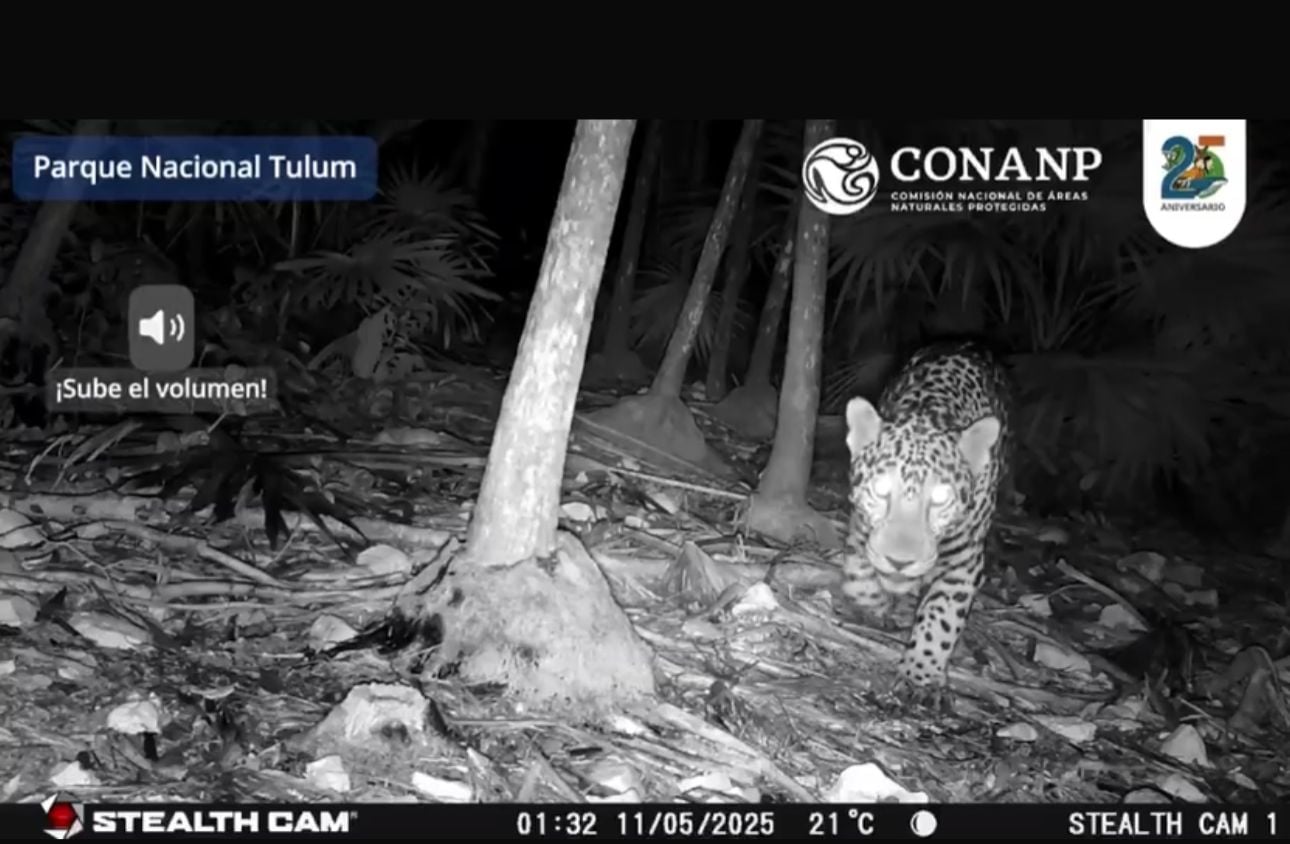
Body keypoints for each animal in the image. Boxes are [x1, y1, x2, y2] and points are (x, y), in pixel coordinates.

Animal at [838, 339, 1014, 702]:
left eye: (941, 498)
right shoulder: (861, 522)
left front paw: (920, 677)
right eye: (880, 490)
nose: (900, 562)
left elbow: (941, 617)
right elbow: (858, 563)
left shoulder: (964, 559)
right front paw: (870, 605)